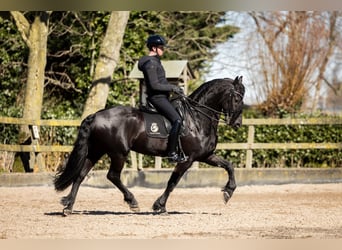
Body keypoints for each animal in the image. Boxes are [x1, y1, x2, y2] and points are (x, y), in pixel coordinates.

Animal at [53, 76, 244, 215]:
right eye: (236, 98)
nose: (237, 123)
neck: (197, 118)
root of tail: (96, 115)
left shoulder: (205, 155)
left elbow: (229, 165)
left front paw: (228, 192)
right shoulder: (187, 160)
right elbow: (172, 182)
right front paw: (159, 206)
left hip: (96, 151)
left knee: (80, 175)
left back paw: (68, 206)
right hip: (118, 153)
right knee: (112, 175)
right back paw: (132, 202)